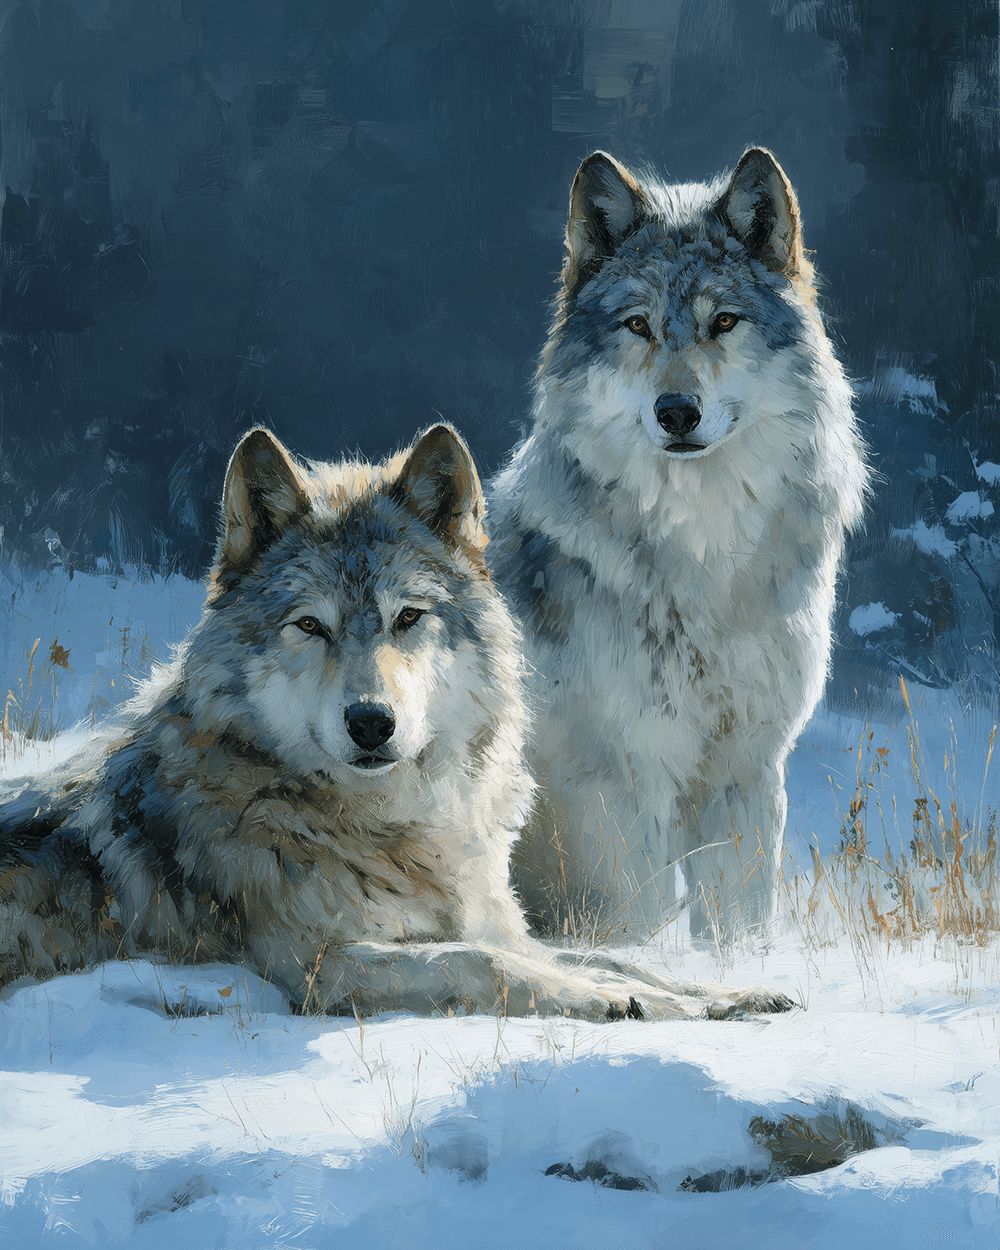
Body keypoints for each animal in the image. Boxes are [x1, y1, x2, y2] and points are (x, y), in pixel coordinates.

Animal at [0, 424, 789, 1020]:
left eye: (407, 616)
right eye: (310, 626)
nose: (371, 723)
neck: (396, 824)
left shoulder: (494, 918)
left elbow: (602, 955)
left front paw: (720, 995)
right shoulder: (322, 967)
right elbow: (486, 964)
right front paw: (612, 1001)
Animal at [490, 147, 868, 943]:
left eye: (722, 321)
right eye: (638, 326)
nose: (677, 411)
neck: (701, 560)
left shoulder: (746, 769)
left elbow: (741, 924)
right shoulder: (616, 784)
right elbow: (636, 920)